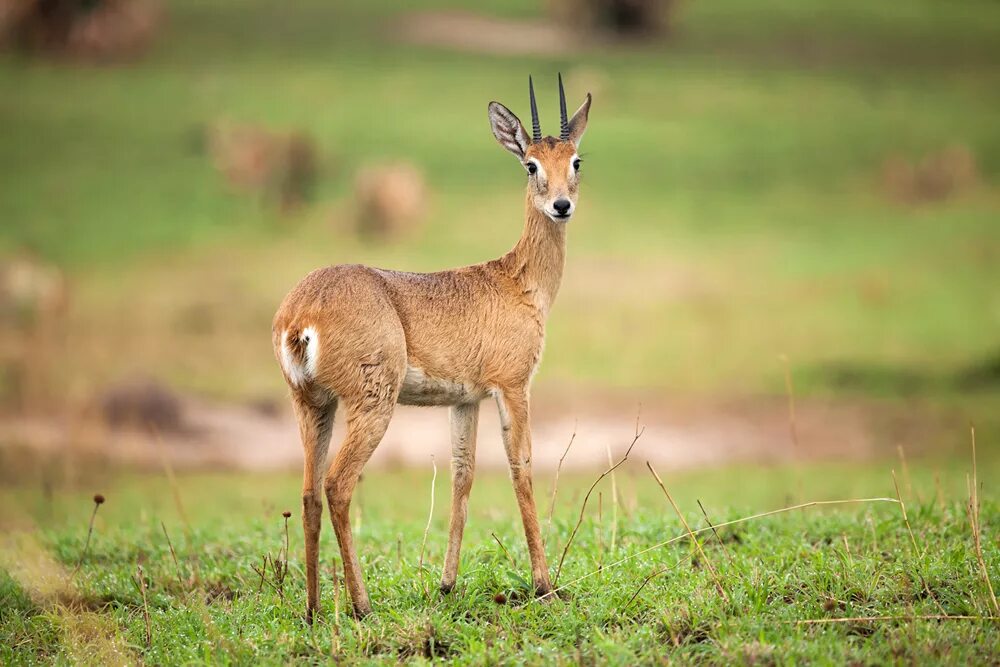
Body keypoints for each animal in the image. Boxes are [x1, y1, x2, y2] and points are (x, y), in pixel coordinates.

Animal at [270, 74, 588, 620]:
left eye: (576, 160)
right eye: (531, 163)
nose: (561, 205)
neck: (516, 281)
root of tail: (301, 312)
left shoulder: (465, 400)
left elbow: (463, 475)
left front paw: (446, 584)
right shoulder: (513, 386)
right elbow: (521, 467)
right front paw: (545, 585)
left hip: (313, 404)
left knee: (309, 491)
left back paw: (312, 610)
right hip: (372, 404)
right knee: (337, 485)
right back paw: (362, 605)